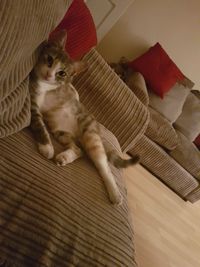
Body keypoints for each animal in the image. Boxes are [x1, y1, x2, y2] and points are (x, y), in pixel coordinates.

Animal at [29, 30, 139, 205]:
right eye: (50, 59)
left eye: (62, 73)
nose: (49, 74)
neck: (44, 85)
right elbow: (39, 122)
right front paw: (48, 147)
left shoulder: (34, 104)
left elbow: (38, 123)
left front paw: (46, 148)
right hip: (61, 132)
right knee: (78, 150)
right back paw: (65, 157)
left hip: (90, 135)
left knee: (103, 165)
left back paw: (114, 193)